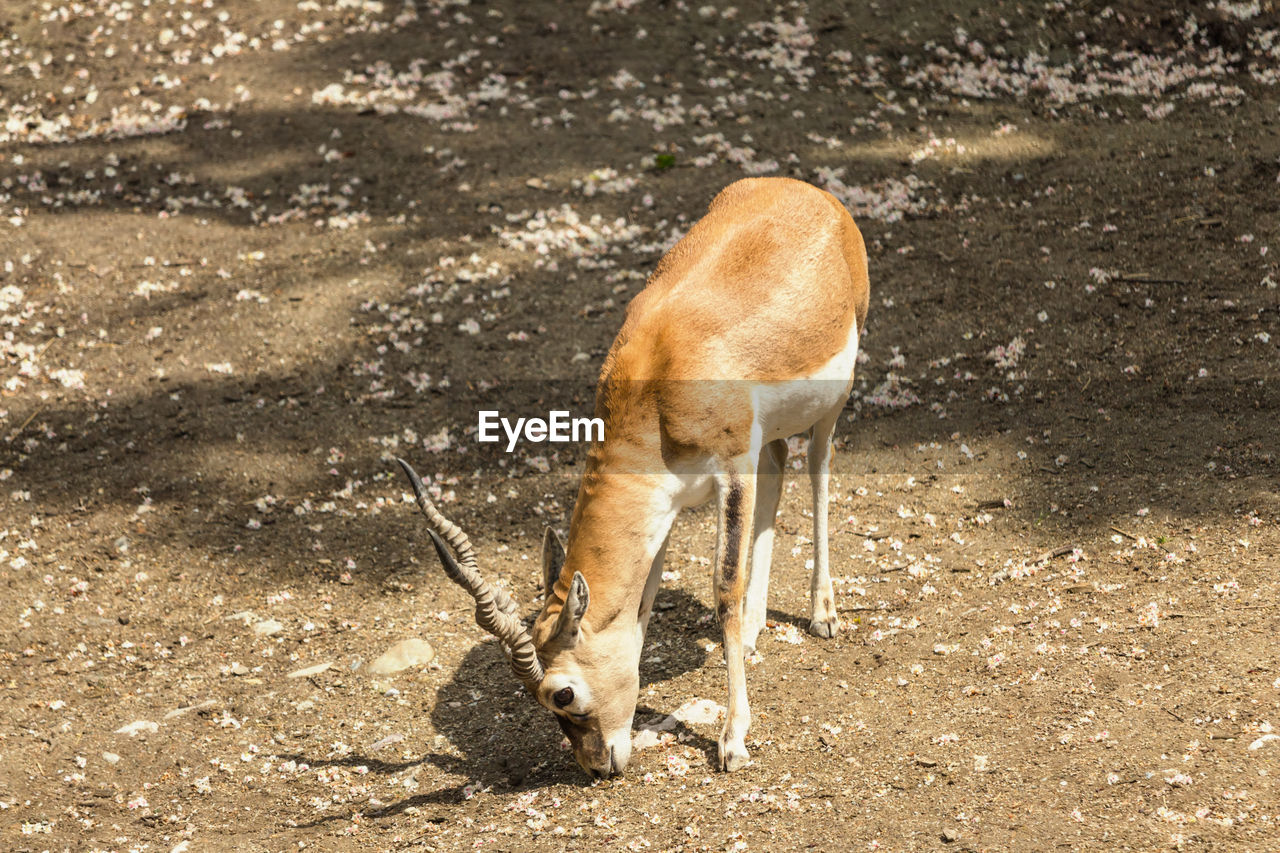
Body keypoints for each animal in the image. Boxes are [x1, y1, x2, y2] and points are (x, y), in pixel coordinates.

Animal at [399, 175, 870, 773]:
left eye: (563, 693)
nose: (597, 766)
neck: (660, 377)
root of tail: (807, 192)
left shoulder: (731, 468)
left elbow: (723, 585)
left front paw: (732, 740)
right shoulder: (662, 502)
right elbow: (645, 598)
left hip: (833, 400)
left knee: (819, 470)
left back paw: (823, 614)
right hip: (774, 433)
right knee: (780, 465)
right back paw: (754, 629)